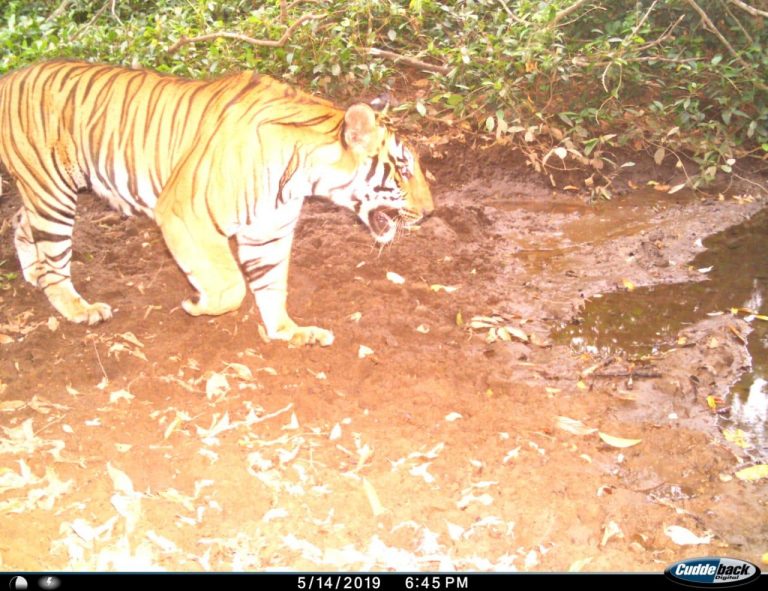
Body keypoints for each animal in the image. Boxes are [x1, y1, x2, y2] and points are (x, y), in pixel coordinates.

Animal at [0, 60, 433, 346]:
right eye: (403, 168)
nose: (431, 212)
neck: (301, 175)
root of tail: (12, 76)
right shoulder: (184, 214)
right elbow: (232, 286)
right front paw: (197, 305)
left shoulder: (268, 231)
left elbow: (272, 285)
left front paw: (288, 331)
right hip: (53, 191)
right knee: (54, 259)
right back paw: (79, 308)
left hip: (48, 189)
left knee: (21, 222)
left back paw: (34, 273)